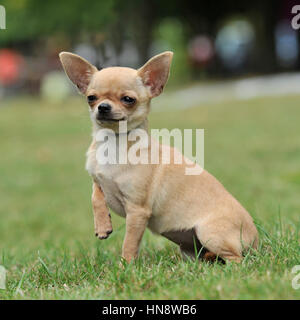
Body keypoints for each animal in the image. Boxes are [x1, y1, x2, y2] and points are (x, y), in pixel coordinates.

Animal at [59, 51, 258, 264]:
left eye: (128, 99)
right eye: (91, 98)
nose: (103, 107)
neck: (114, 141)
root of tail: (255, 238)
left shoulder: (137, 211)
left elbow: (129, 242)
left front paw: (125, 266)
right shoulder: (98, 180)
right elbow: (95, 197)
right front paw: (103, 226)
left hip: (210, 233)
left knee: (237, 259)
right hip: (189, 248)